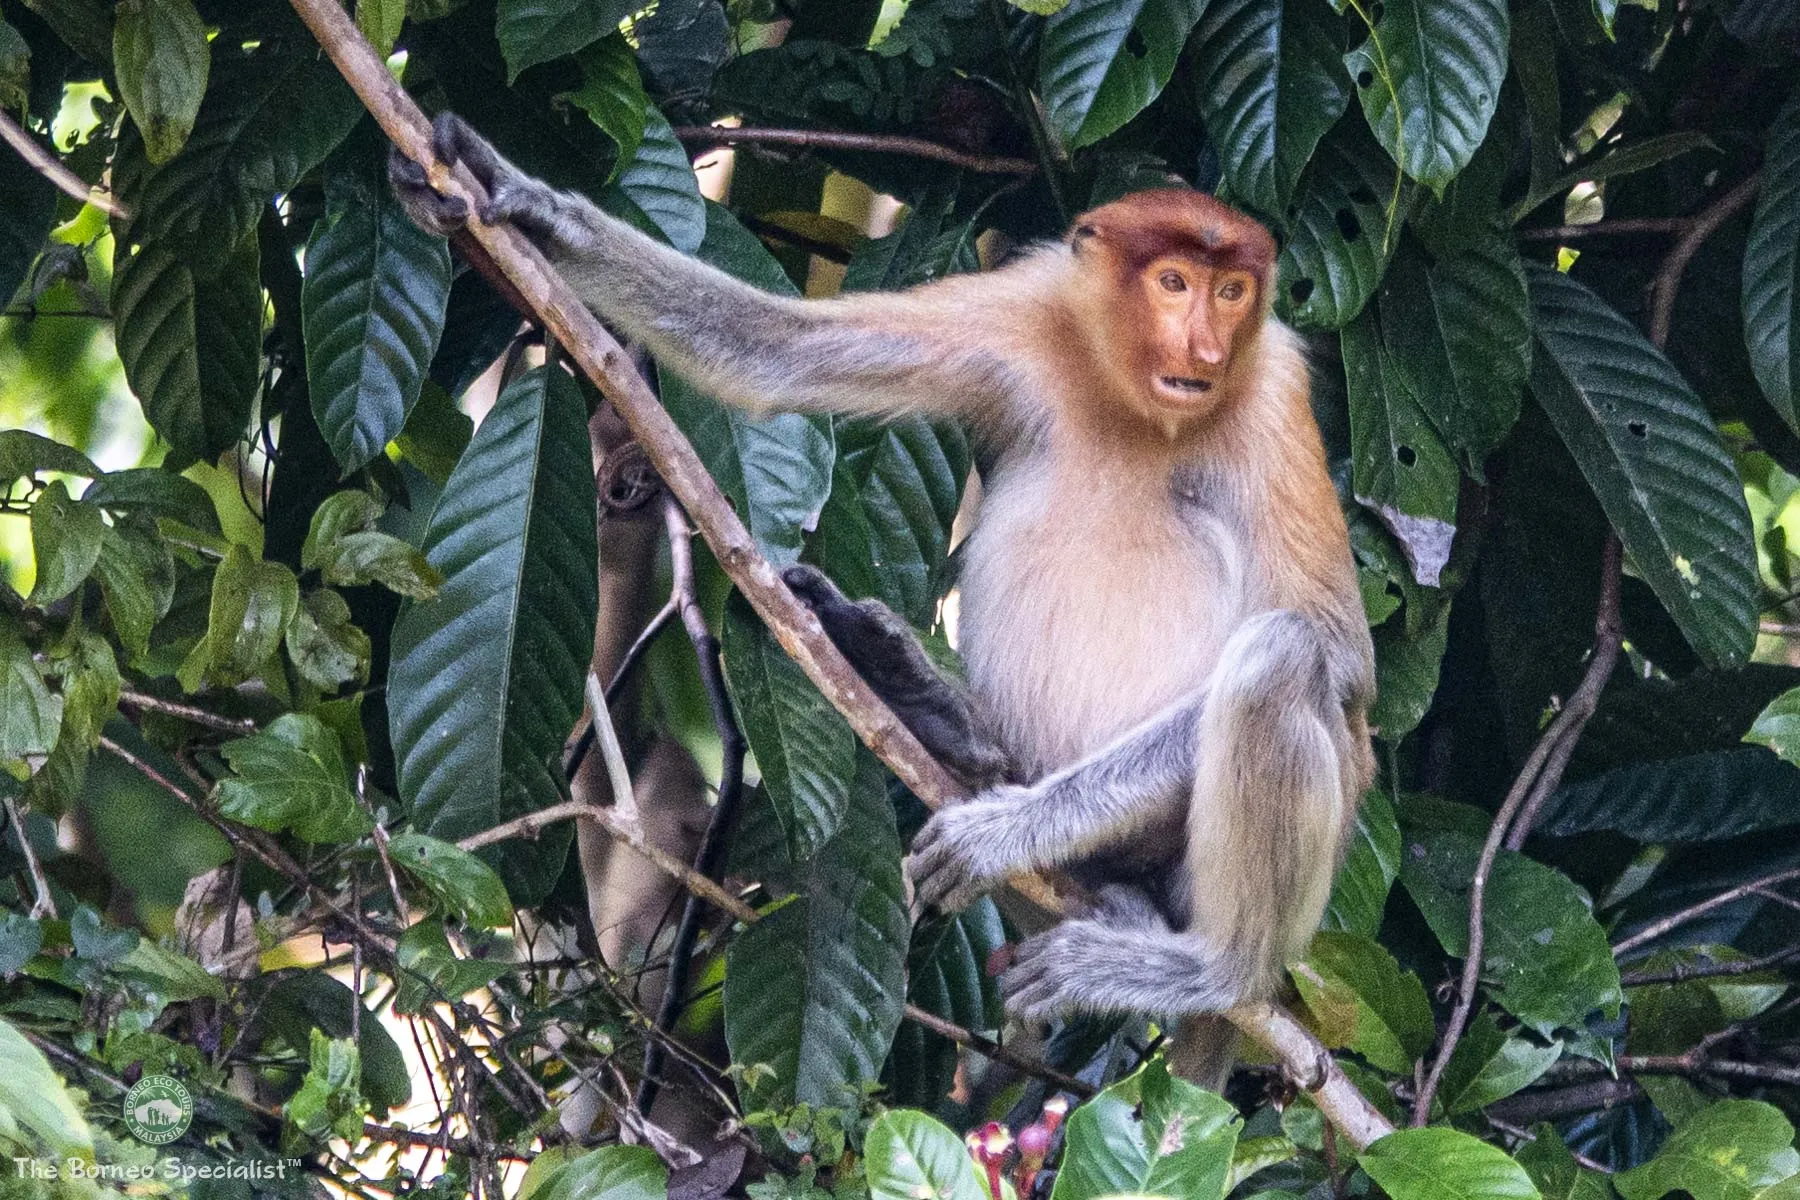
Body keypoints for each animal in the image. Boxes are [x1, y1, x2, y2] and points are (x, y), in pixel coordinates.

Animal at [391, 114, 1376, 1088]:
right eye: (1174, 283)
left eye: (1234, 291)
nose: (1205, 353)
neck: (1134, 402)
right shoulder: (1027, 310)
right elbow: (780, 351)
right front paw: (523, 202)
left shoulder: (1273, 391)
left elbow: (1341, 661)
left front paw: (1003, 832)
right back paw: (939, 717)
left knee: (1281, 657)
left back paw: (1204, 965)